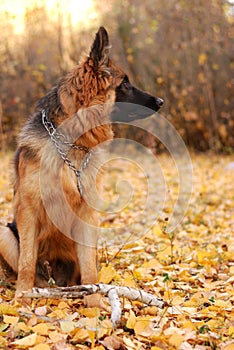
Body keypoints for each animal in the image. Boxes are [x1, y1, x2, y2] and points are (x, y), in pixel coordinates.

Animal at [0, 27, 164, 304]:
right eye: (125, 83)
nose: (161, 101)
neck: (72, 141)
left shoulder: (87, 214)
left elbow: (89, 270)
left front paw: (95, 303)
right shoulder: (28, 212)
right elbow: (26, 262)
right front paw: (21, 300)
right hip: (5, 233)